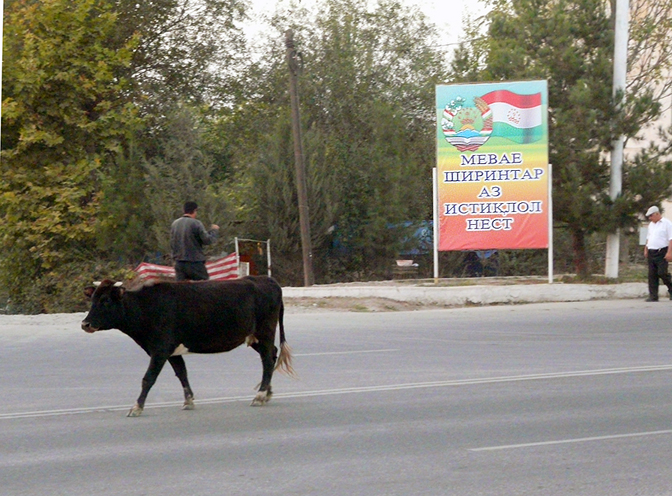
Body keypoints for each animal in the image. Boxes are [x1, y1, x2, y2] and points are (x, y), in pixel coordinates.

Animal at [80, 274, 294, 416]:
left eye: (106, 300)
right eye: (93, 299)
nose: (85, 324)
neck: (145, 306)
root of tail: (267, 280)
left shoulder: (160, 350)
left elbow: (148, 378)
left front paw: (136, 407)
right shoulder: (171, 351)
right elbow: (182, 373)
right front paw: (188, 400)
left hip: (264, 332)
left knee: (267, 360)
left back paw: (259, 396)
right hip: (254, 337)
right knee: (271, 355)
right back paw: (267, 392)